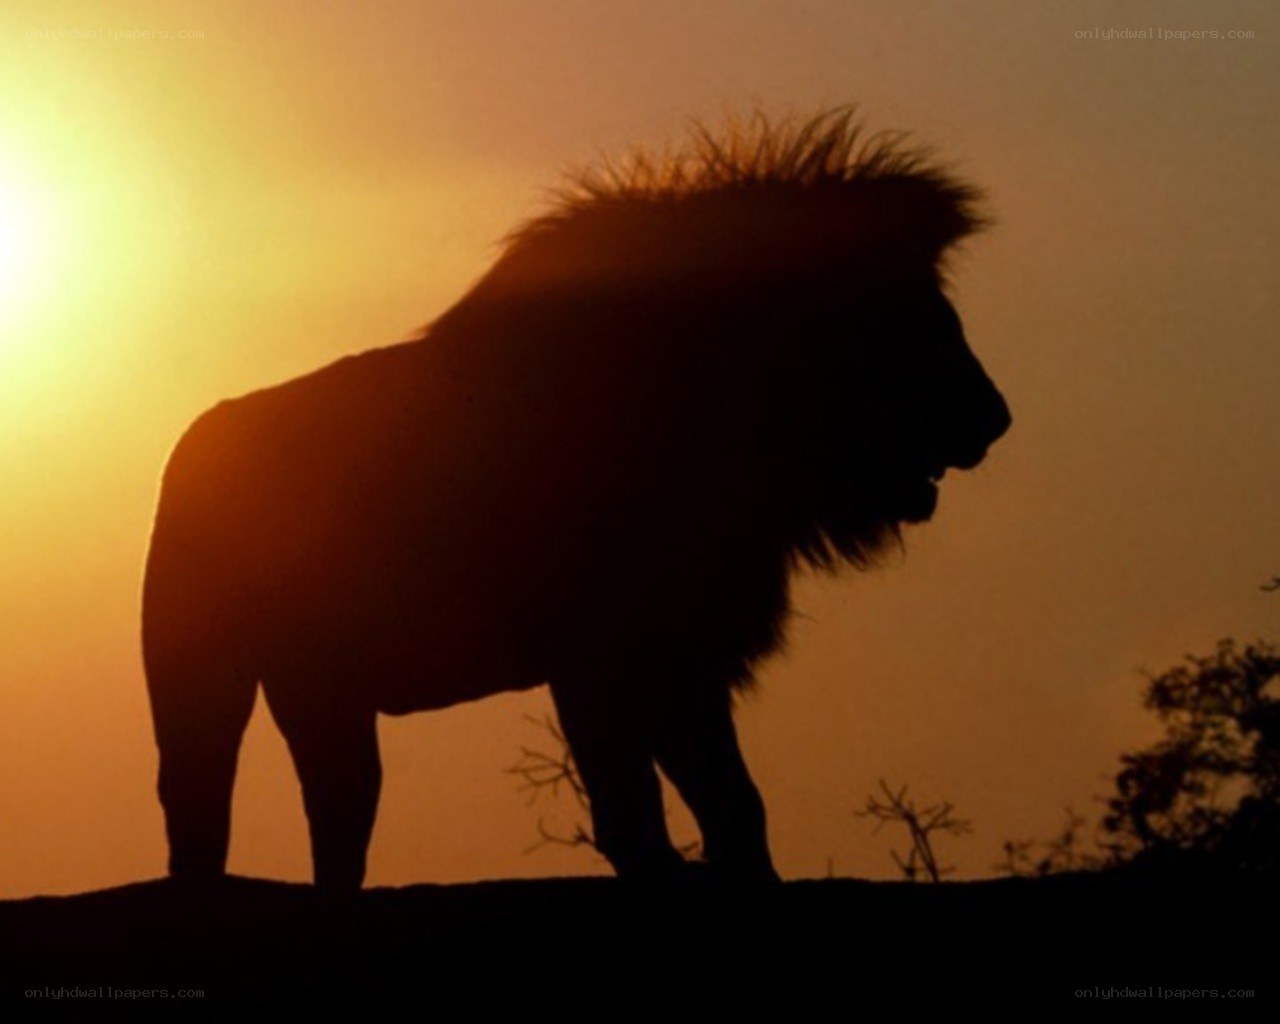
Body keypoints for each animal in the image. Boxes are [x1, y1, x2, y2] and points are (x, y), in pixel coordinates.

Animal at [143, 110, 1010, 890]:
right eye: (911, 315)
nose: (994, 416)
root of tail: (192, 440)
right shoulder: (600, 652)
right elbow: (632, 802)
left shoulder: (687, 648)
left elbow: (731, 796)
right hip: (203, 674)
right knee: (200, 806)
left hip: (325, 689)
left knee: (339, 814)